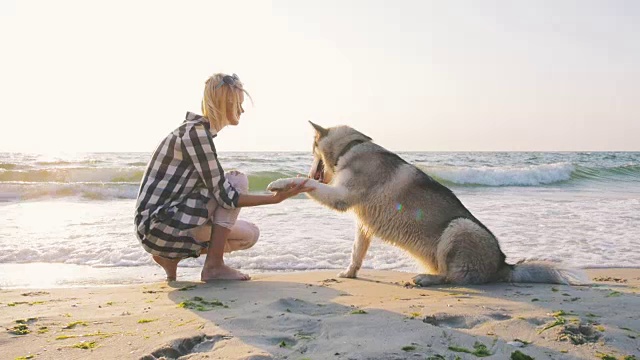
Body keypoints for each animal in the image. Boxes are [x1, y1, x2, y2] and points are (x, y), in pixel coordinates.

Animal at [268, 122, 588, 286]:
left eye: (311, 150)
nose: (309, 167)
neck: (352, 147)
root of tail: (503, 265)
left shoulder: (340, 197)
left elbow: (307, 185)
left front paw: (283, 182)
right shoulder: (362, 225)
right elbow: (356, 253)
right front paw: (350, 273)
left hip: (459, 228)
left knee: (455, 279)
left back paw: (426, 279)